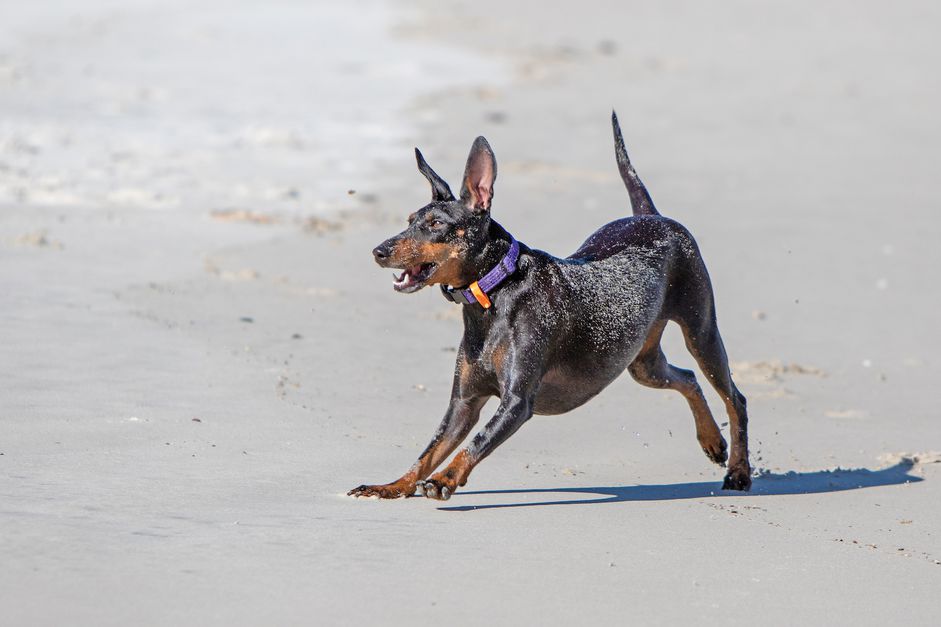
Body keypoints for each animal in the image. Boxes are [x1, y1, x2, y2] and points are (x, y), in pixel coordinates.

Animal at [348, 113, 752, 502]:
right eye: (409, 221)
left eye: (435, 224)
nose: (379, 251)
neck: (494, 291)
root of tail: (652, 215)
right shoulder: (464, 402)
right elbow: (429, 449)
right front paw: (392, 486)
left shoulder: (516, 402)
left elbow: (475, 443)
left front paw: (444, 479)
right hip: (641, 364)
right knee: (688, 378)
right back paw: (712, 441)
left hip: (701, 329)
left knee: (734, 396)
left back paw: (738, 471)